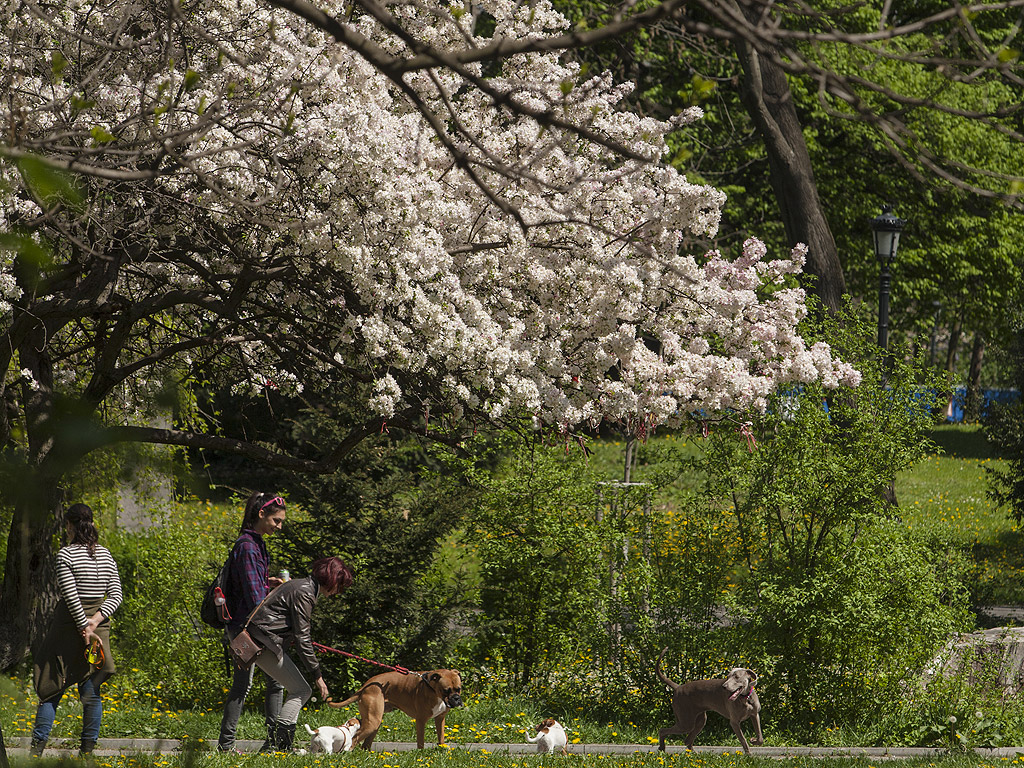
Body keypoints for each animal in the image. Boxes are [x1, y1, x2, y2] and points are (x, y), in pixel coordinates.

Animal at [327, 671, 464, 749]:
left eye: (459, 689)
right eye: (445, 690)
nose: (456, 698)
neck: (432, 689)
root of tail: (366, 685)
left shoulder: (440, 719)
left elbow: (441, 737)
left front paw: (441, 750)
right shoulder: (421, 721)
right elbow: (421, 741)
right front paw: (421, 754)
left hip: (375, 722)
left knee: (365, 743)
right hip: (372, 722)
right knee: (355, 738)